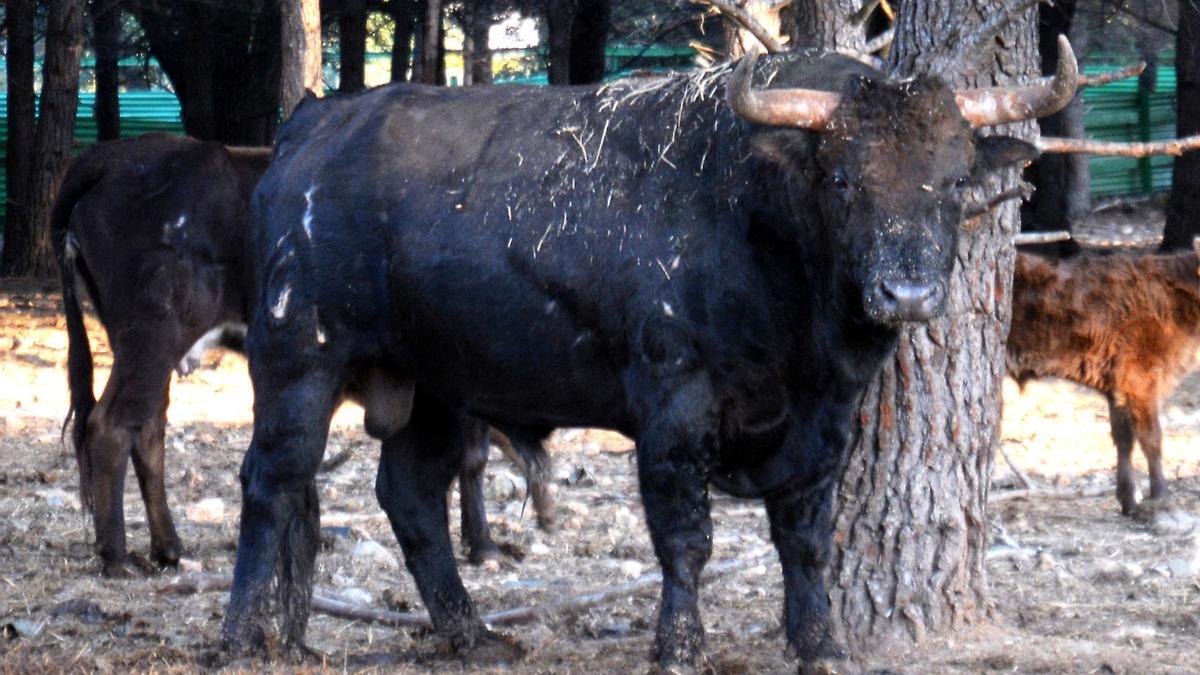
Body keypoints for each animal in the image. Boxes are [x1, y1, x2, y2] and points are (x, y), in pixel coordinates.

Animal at [51, 133, 549, 576]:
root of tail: (110, 157)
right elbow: (472, 458)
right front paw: (484, 545)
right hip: (152, 338)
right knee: (112, 427)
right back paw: (117, 555)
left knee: (148, 428)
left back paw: (168, 547)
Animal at [225, 48, 1080, 667]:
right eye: (842, 178)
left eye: (953, 181)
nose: (906, 292)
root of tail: (312, 124)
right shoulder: (674, 411)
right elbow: (685, 537)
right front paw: (680, 644)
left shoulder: (825, 422)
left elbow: (805, 534)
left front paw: (821, 641)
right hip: (297, 360)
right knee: (272, 480)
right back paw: (245, 634)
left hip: (434, 382)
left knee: (409, 495)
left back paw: (474, 634)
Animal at [1008, 241, 1200, 514]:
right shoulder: (1142, 379)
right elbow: (1151, 438)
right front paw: (1161, 496)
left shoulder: (1118, 387)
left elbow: (1123, 438)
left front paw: (1129, 501)